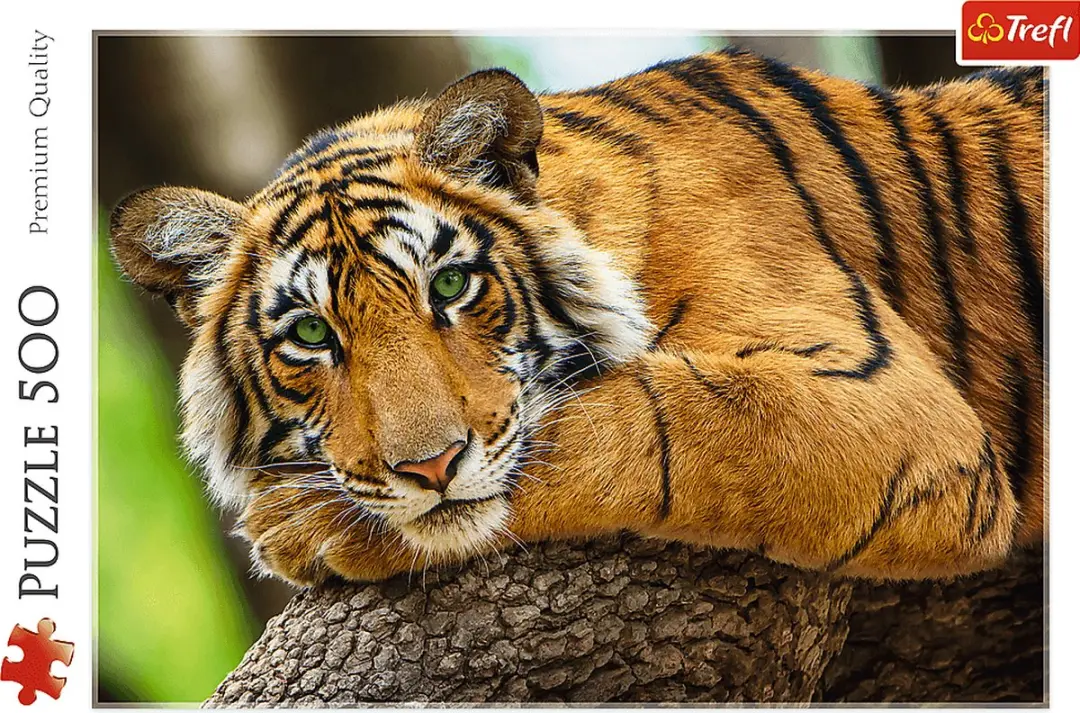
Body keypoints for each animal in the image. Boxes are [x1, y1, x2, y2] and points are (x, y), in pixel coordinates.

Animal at [109, 48, 1045, 587]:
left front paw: (303, 523)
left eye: (451, 285)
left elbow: (643, 420)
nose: (430, 467)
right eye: (310, 334)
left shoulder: (888, 403)